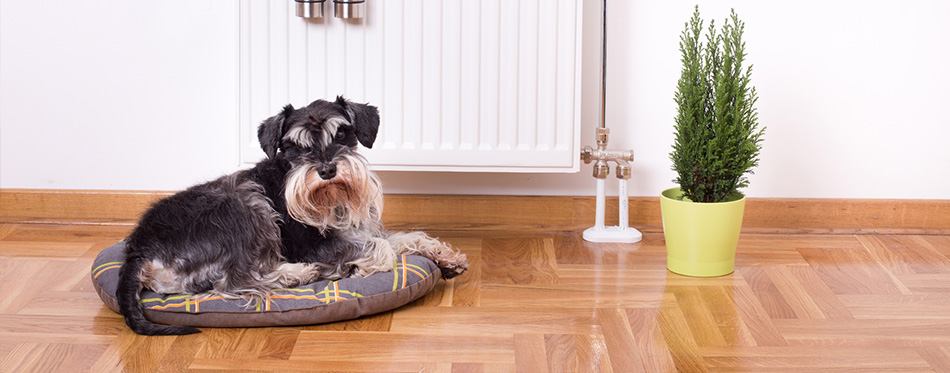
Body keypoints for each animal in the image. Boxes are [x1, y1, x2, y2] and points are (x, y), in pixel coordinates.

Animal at [117, 96, 470, 334]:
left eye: (341, 134)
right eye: (296, 146)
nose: (327, 170)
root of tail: (137, 249)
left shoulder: (361, 231)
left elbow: (406, 238)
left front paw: (446, 257)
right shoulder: (319, 245)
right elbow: (383, 250)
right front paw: (357, 268)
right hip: (246, 201)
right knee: (234, 280)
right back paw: (300, 274)